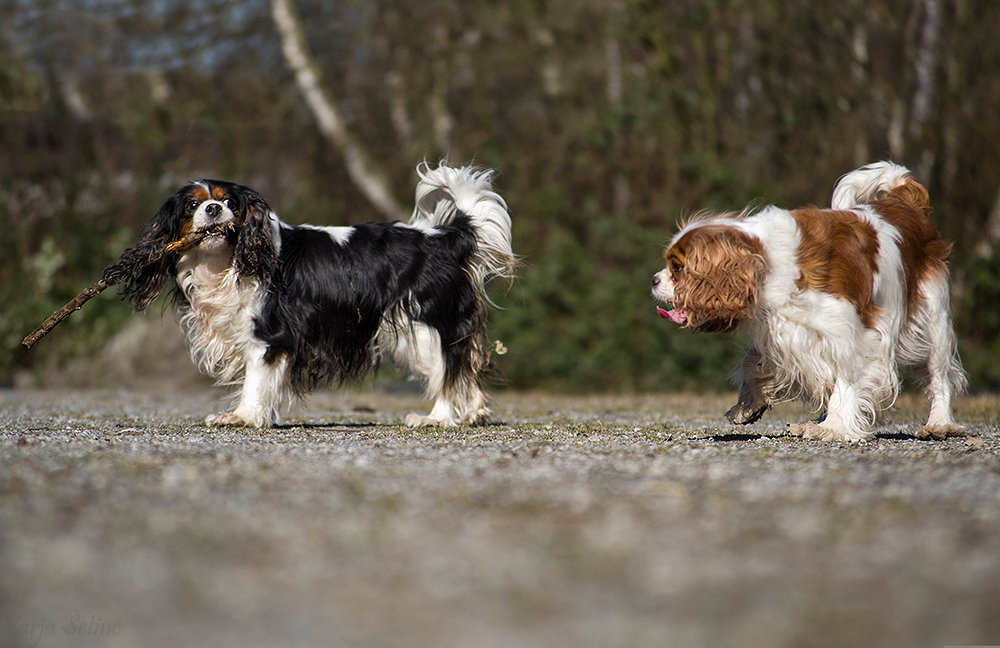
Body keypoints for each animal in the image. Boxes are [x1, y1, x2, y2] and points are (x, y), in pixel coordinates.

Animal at [652, 161, 964, 440]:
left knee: (939, 375)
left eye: (677, 268)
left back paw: (939, 424)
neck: (767, 260)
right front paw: (748, 406)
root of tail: (904, 201)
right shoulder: (782, 330)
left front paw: (833, 427)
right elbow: (754, 362)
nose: (654, 280)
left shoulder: (854, 335)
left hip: (932, 320)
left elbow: (846, 380)